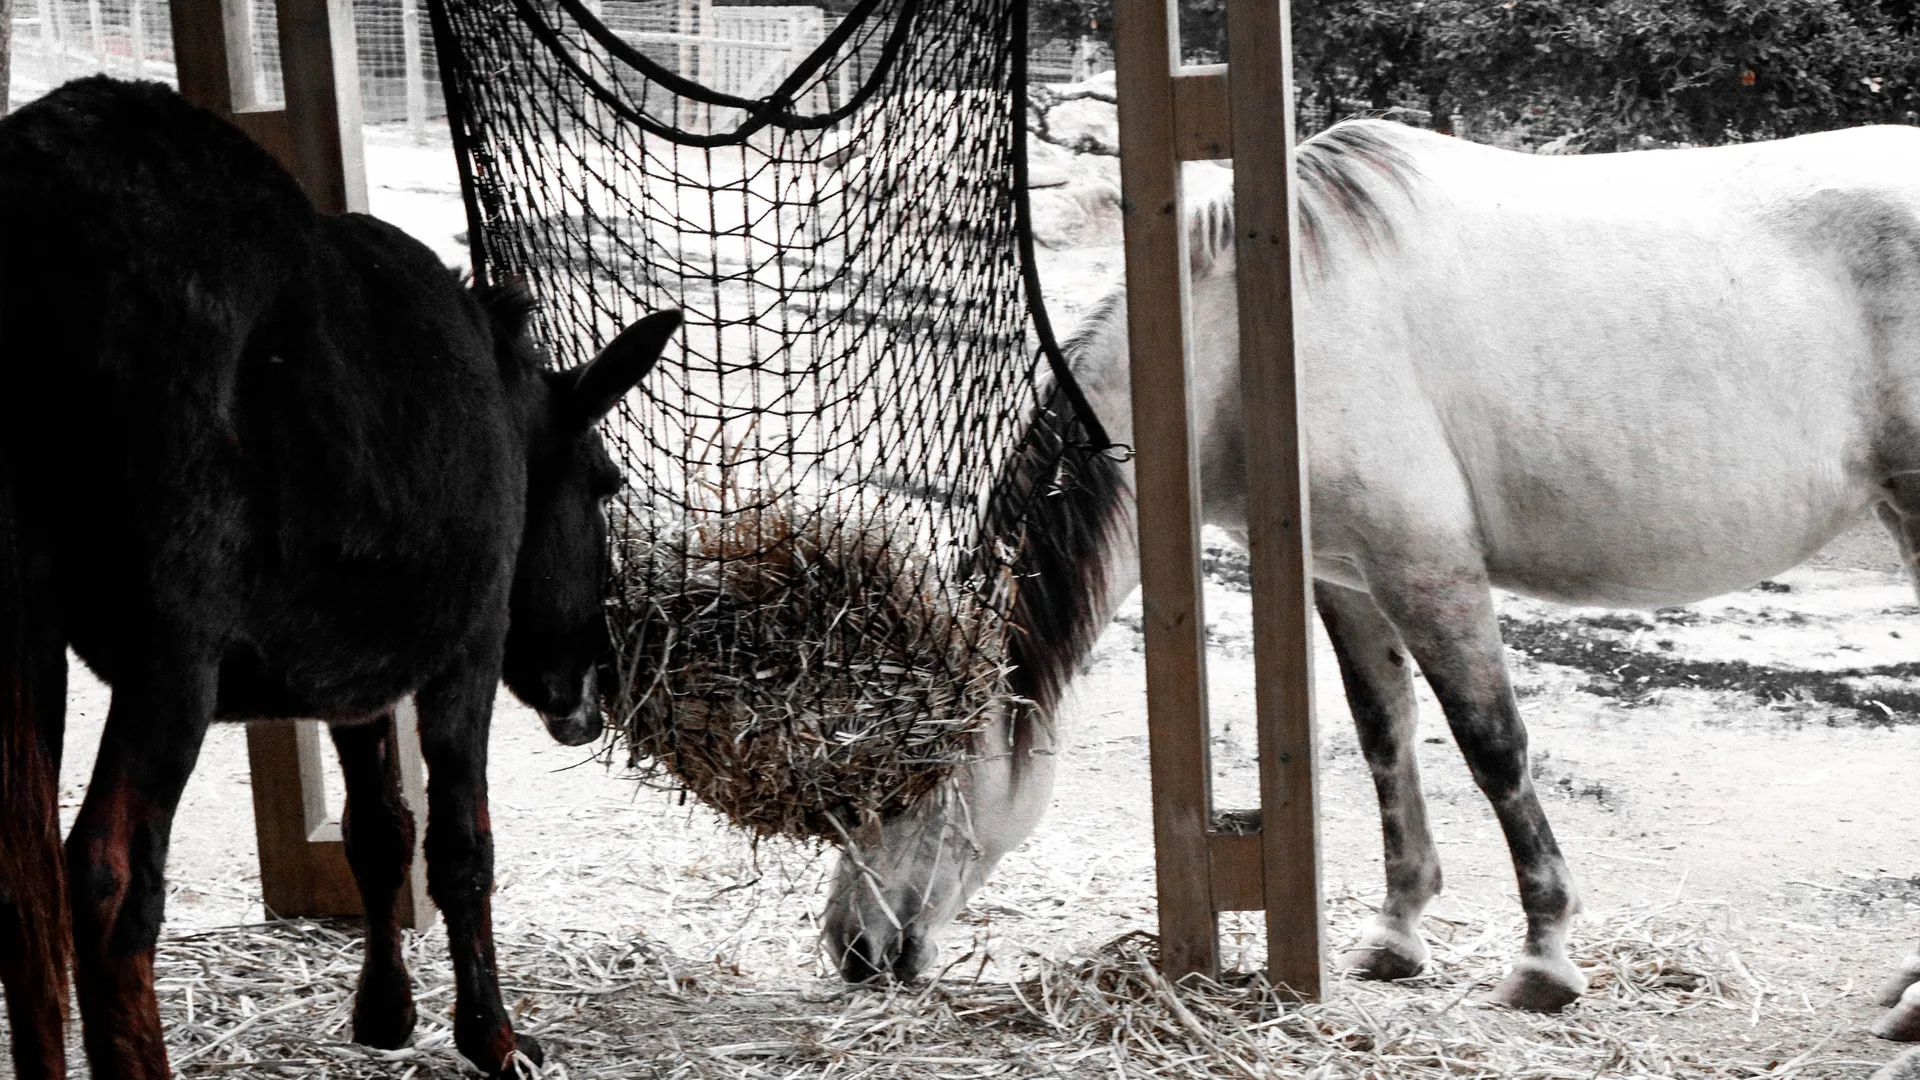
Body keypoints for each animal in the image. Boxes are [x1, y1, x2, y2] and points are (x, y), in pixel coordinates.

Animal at [0, 76, 679, 1079]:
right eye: (607, 481)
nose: (594, 673)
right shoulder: (467, 649)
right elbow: (462, 844)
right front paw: (492, 1034)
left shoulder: (355, 675)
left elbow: (378, 830)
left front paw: (385, 1013)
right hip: (173, 645)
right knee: (106, 874)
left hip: (26, 635)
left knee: (23, 880)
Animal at [823, 116, 1920, 1039]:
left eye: (914, 775)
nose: (854, 950)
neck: (1252, 341)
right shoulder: (1346, 580)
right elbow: (1385, 740)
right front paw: (1398, 936)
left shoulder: (1427, 570)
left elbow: (1492, 747)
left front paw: (1545, 959)